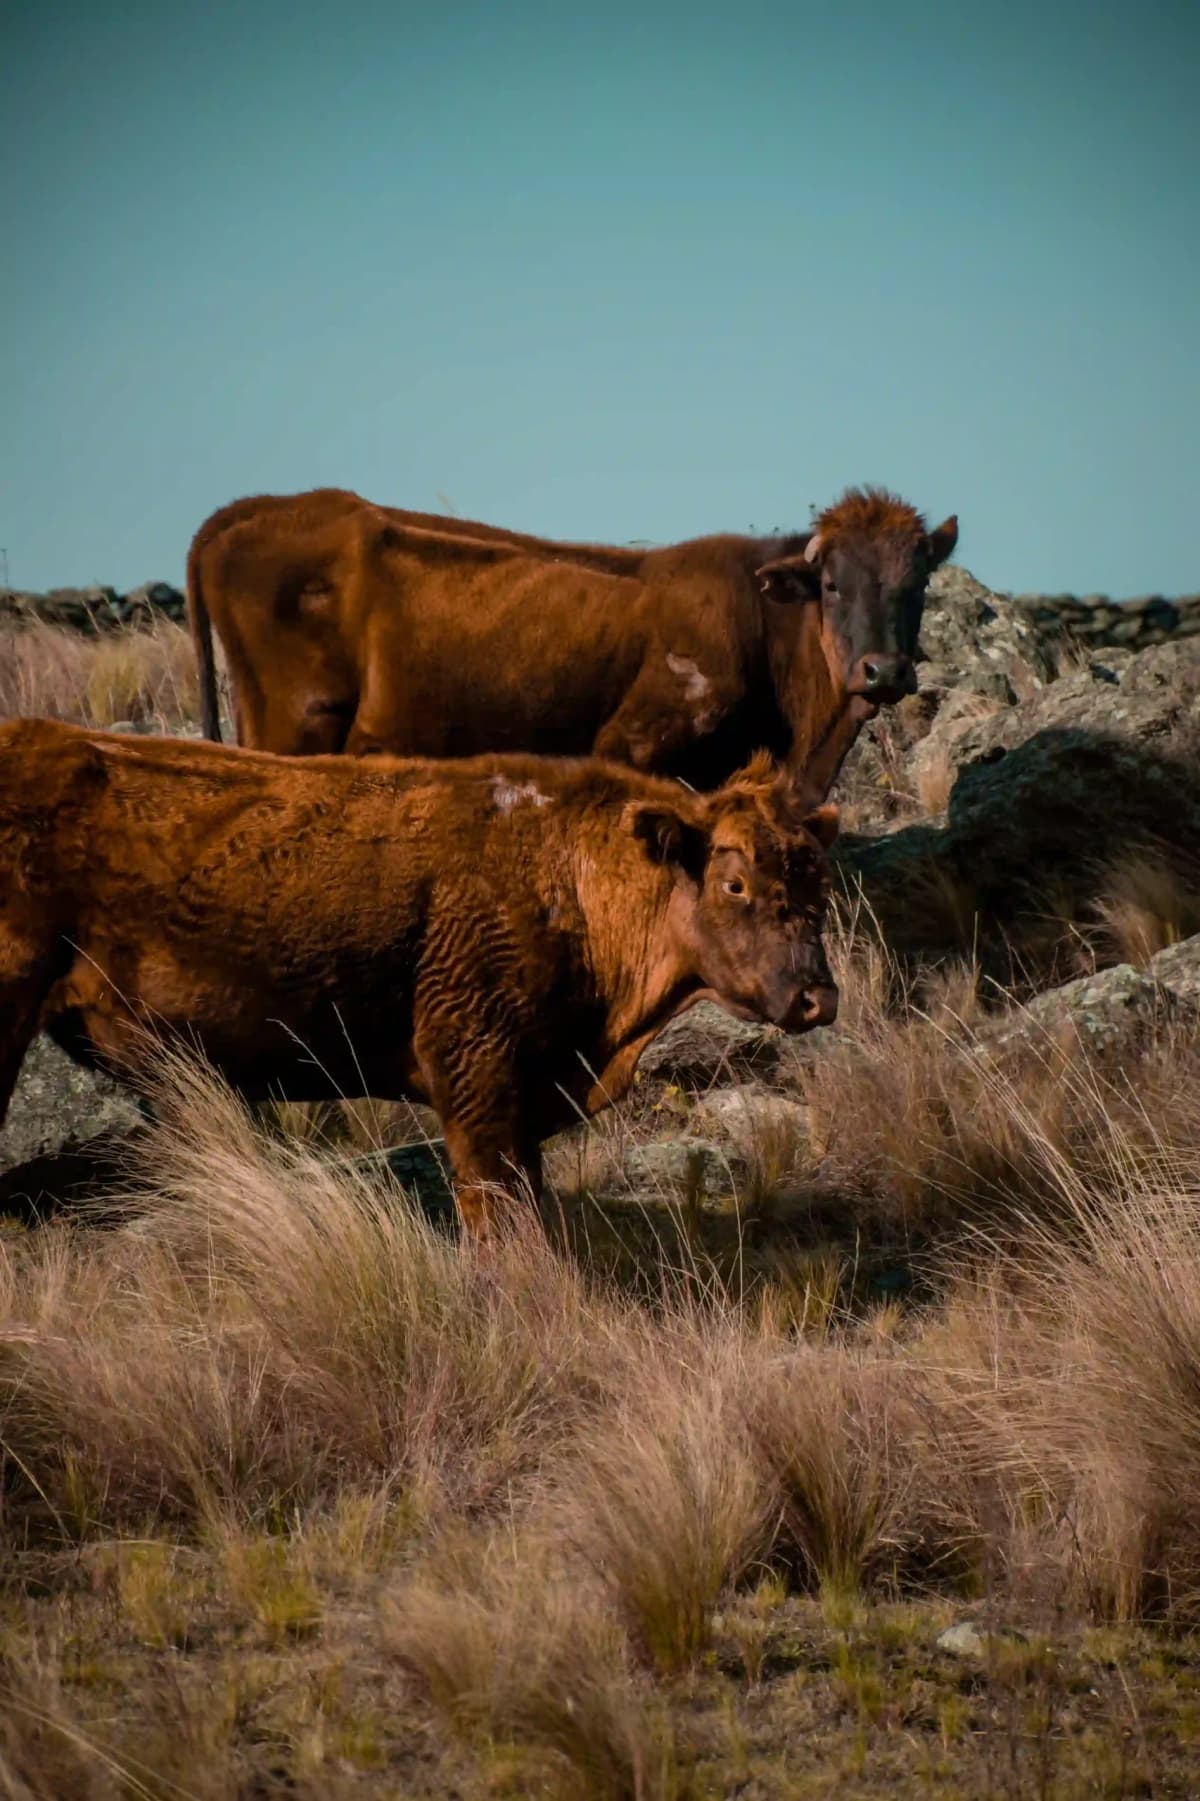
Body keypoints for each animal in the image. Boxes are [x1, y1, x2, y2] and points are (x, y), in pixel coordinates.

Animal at [0, 719, 839, 1238]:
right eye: (734, 882)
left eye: (818, 878)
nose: (816, 996)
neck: (566, 871)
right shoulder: (477, 1082)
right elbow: (500, 1226)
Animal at [188, 486, 957, 797]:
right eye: (831, 585)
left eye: (917, 581)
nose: (883, 671)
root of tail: (250, 511)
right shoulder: (631, 745)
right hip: (295, 724)